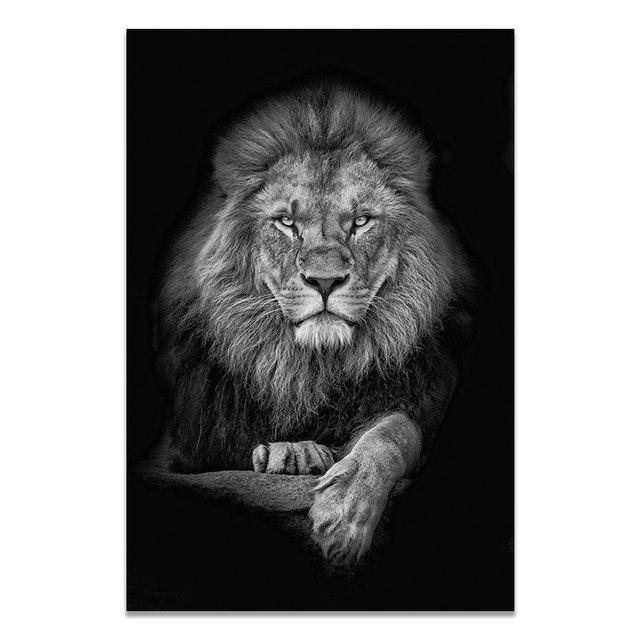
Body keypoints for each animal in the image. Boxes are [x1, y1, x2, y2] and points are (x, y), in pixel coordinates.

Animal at [146, 79, 479, 566]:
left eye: (361, 221)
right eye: (286, 222)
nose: (324, 281)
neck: (309, 368)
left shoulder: (419, 394)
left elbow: (394, 433)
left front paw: (345, 514)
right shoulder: (187, 439)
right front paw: (295, 452)